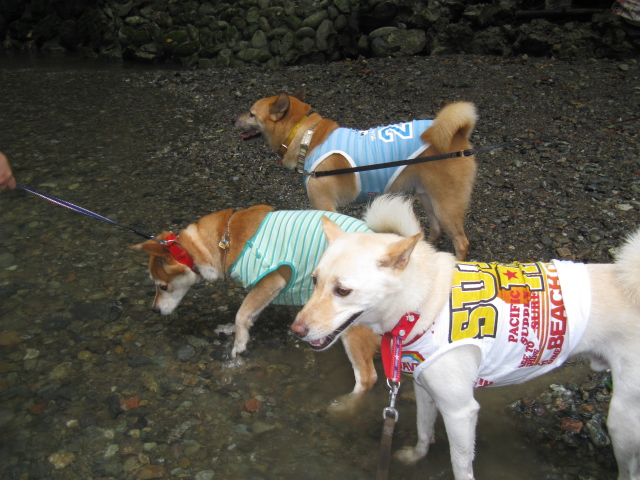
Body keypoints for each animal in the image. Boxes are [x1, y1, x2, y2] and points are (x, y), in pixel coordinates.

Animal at [131, 205, 380, 397]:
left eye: (162, 286)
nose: (154, 310)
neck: (225, 241)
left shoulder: (271, 281)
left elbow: (241, 313)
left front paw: (239, 344)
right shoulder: (264, 290)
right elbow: (249, 314)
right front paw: (233, 330)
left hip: (352, 327)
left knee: (367, 378)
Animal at [234, 90, 477, 260]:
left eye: (251, 113)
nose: (232, 120)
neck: (306, 137)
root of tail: (458, 133)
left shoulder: (324, 206)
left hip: (446, 203)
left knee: (461, 242)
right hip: (427, 196)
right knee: (435, 228)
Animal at [291, 194, 640, 480]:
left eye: (342, 291)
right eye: (314, 280)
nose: (295, 330)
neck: (421, 304)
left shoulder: (460, 411)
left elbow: (460, 465)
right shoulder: (424, 389)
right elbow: (423, 432)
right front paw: (415, 458)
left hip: (623, 420)